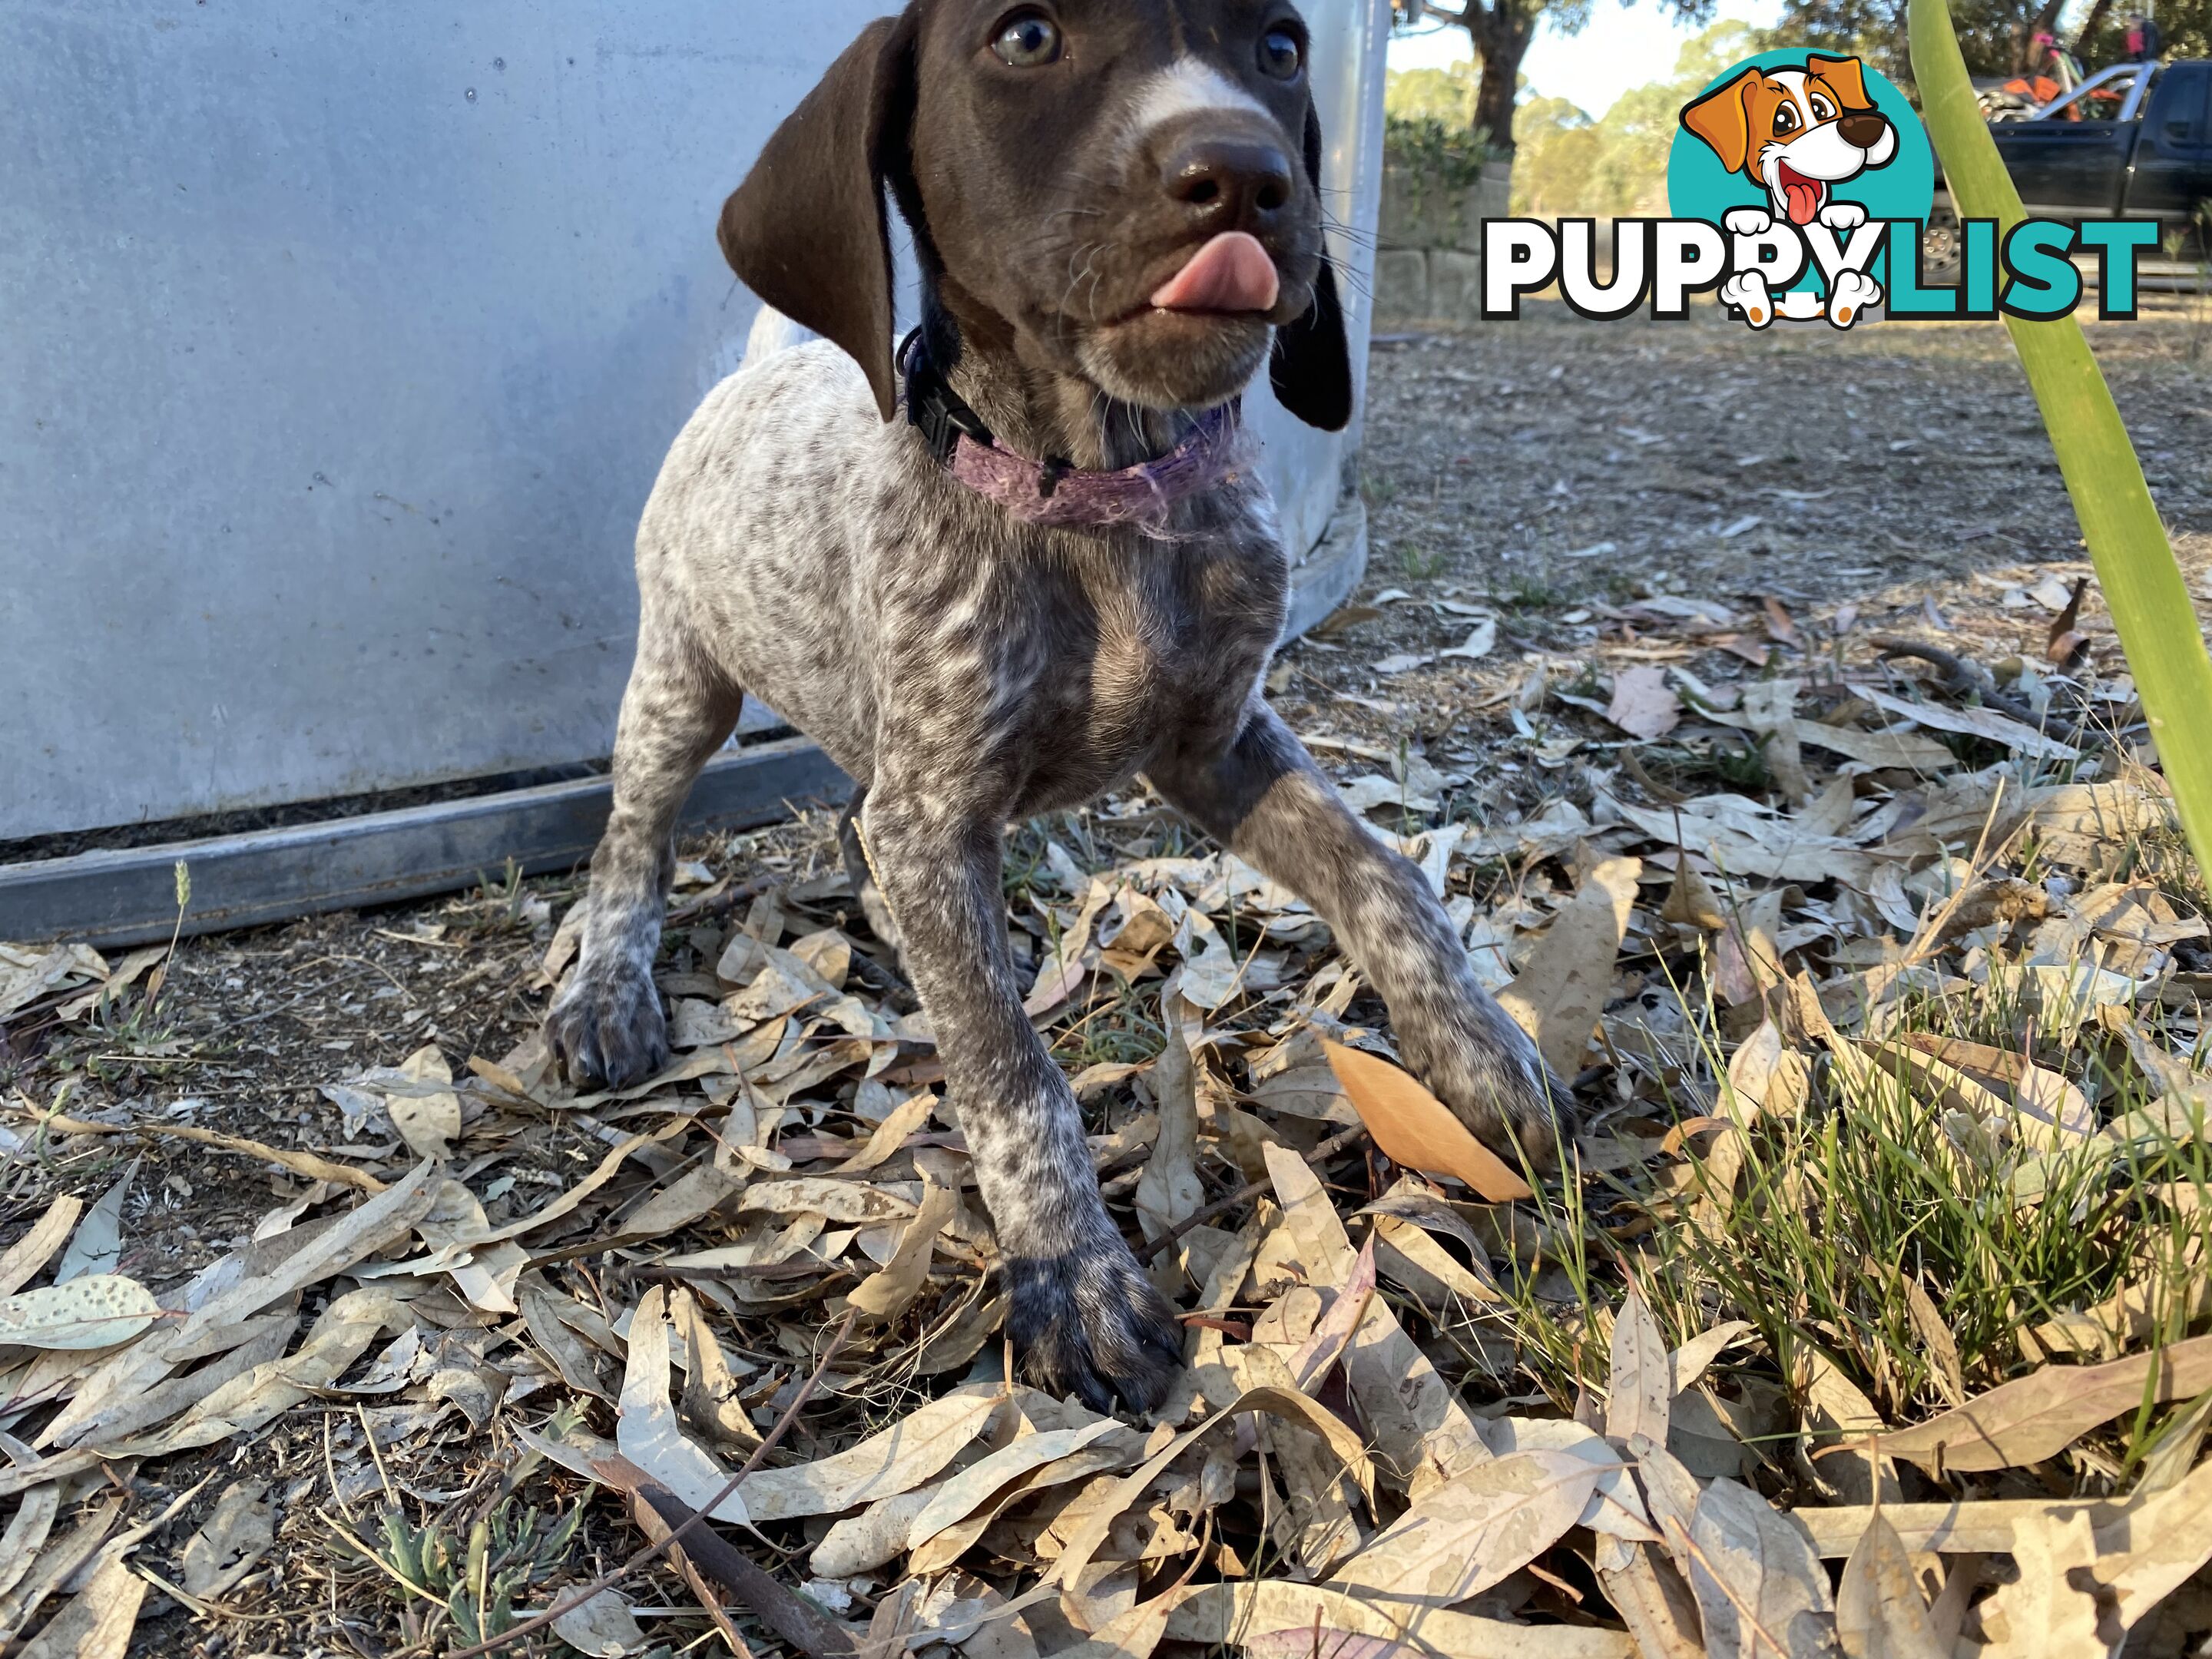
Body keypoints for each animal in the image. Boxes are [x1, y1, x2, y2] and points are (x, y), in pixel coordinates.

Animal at [546, 0, 1566, 1416]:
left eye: (1283, 46)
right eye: (1026, 37)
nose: (1246, 174)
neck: (1104, 501)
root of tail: (760, 374)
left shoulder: (1215, 744)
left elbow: (1387, 882)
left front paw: (1482, 1062)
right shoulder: (940, 808)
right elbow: (1007, 1066)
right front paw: (1073, 1276)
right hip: (682, 679)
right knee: (633, 840)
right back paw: (610, 985)